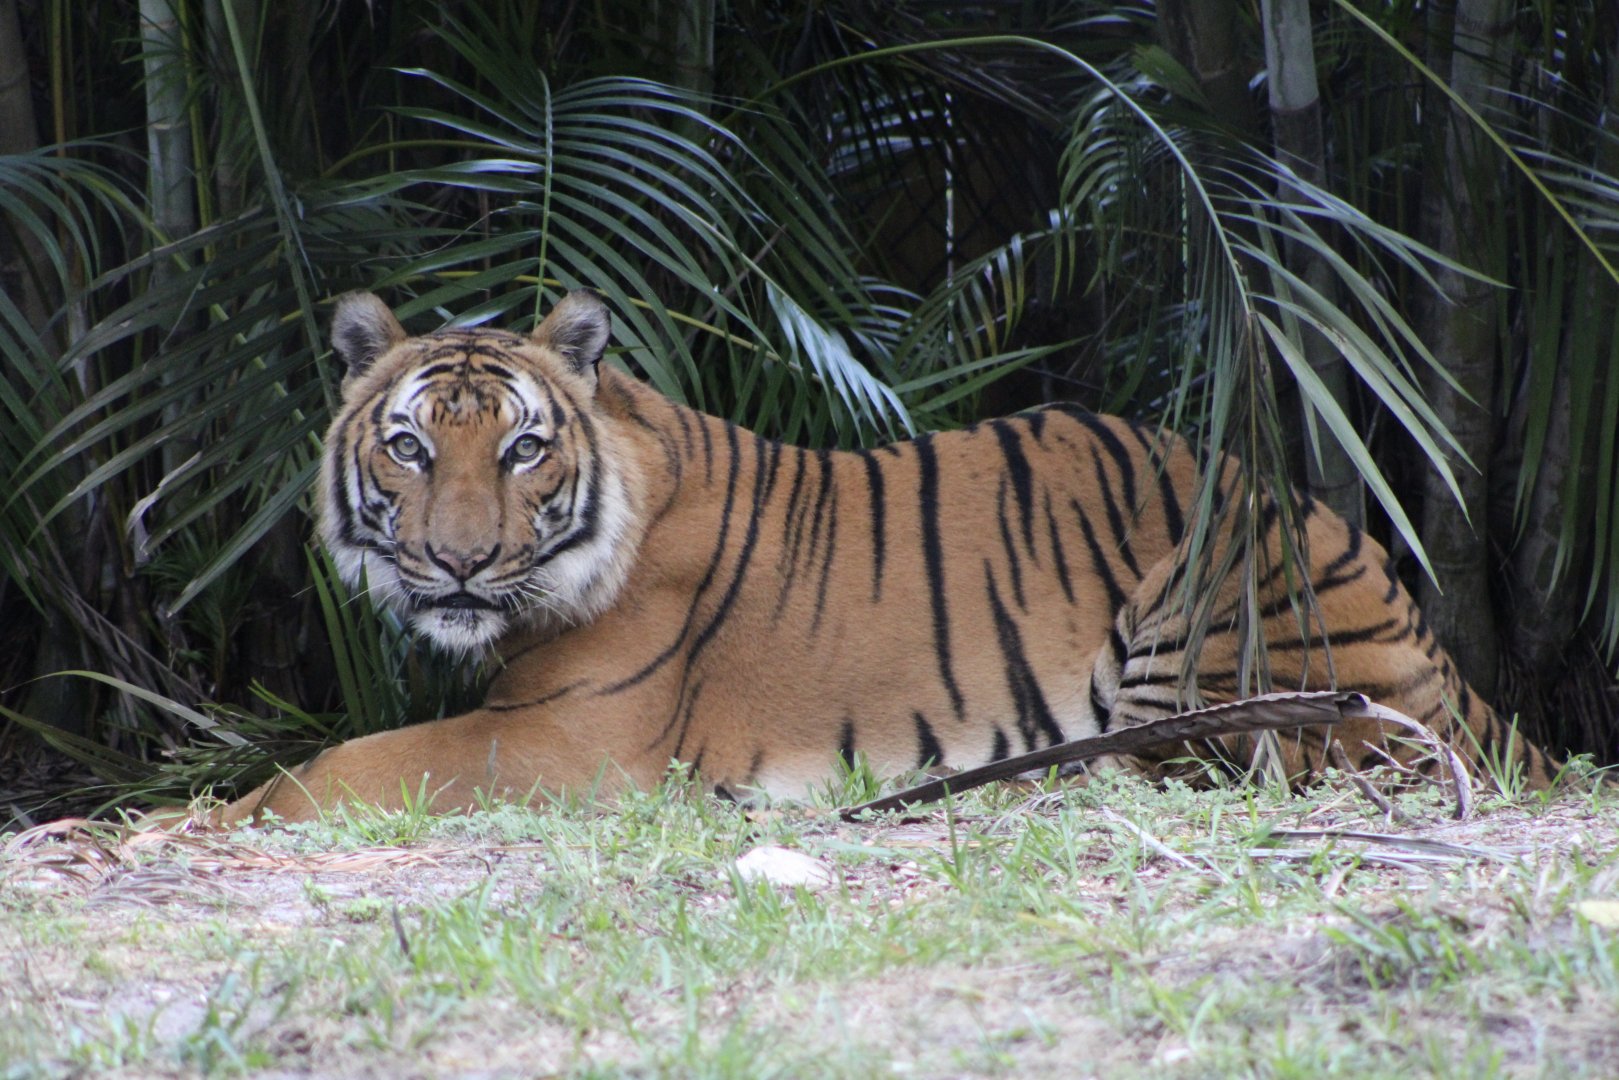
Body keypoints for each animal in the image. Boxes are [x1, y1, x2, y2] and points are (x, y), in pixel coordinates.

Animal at [218, 290, 1563, 824]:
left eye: (519, 451)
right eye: (406, 448)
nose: (453, 565)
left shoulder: (567, 741)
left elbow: (333, 766)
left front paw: (208, 816)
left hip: (1208, 622)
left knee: (1200, 769)